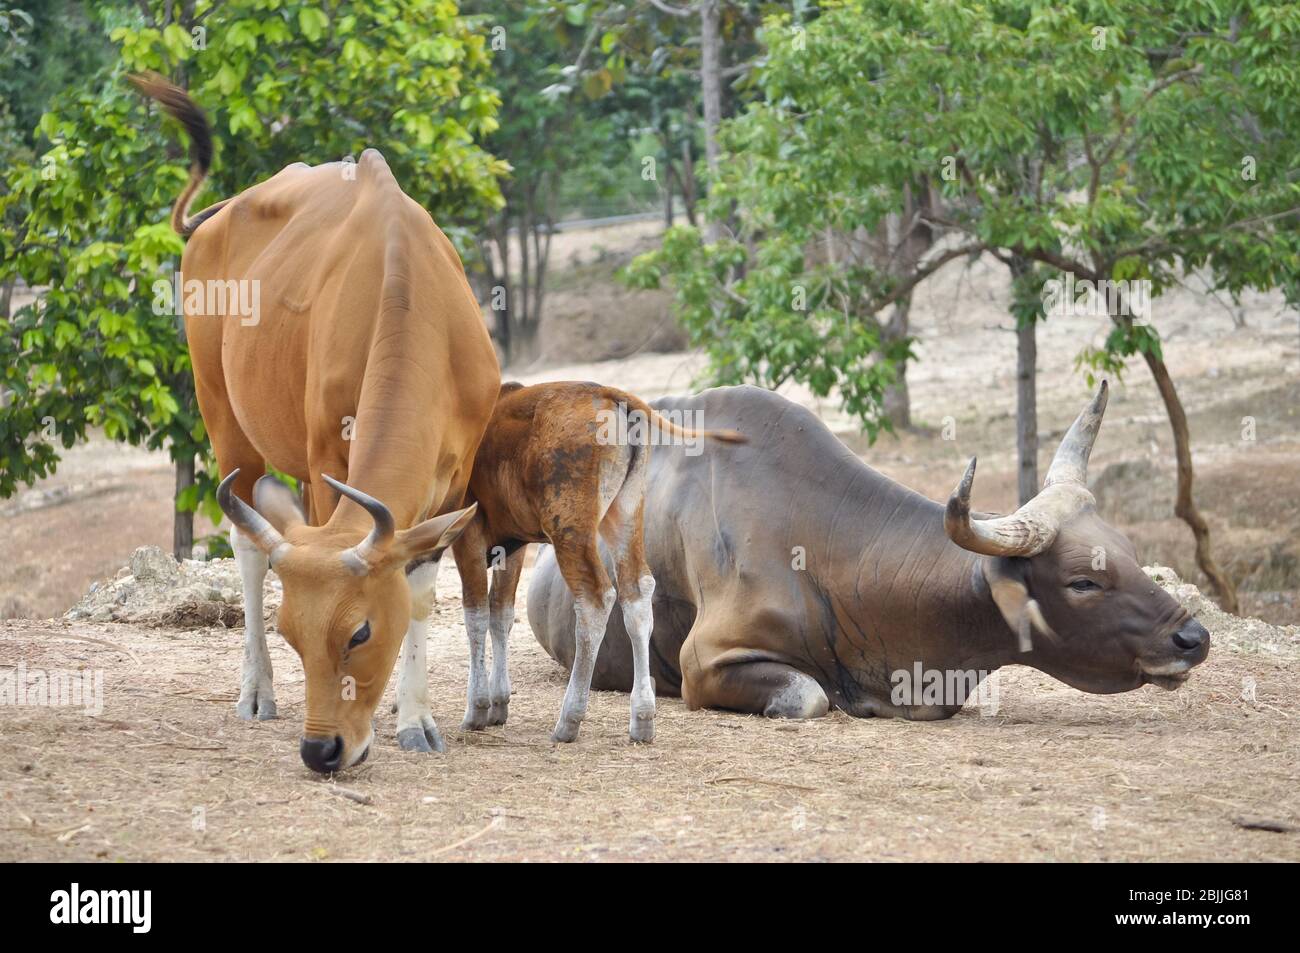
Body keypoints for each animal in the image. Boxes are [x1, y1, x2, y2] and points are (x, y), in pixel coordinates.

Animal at [132, 75, 500, 771]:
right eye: (293, 636)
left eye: (359, 631)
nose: (321, 749)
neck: (412, 298)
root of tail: (217, 216)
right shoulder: (328, 455)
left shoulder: (458, 473)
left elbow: (418, 588)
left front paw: (416, 719)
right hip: (223, 417)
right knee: (249, 545)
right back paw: (256, 692)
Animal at [451, 381, 744, 743]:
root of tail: (604, 392)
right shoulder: (513, 547)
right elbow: (500, 614)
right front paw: (498, 704)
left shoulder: (467, 535)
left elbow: (475, 615)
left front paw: (476, 708)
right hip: (625, 512)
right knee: (637, 592)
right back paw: (642, 718)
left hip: (570, 529)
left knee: (596, 599)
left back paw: (569, 719)